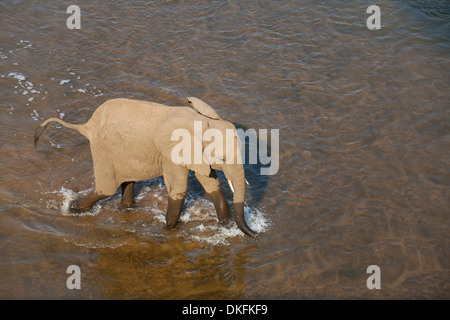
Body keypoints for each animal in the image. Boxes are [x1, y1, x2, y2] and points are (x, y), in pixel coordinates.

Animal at [33, 97, 258, 238]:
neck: (201, 121)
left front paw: (224, 225)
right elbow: (178, 188)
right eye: (222, 157)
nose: (257, 235)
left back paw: (125, 207)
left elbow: (209, 181)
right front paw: (169, 230)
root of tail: (87, 125)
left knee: (127, 181)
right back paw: (72, 208)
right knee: (107, 188)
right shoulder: (171, 153)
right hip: (102, 149)